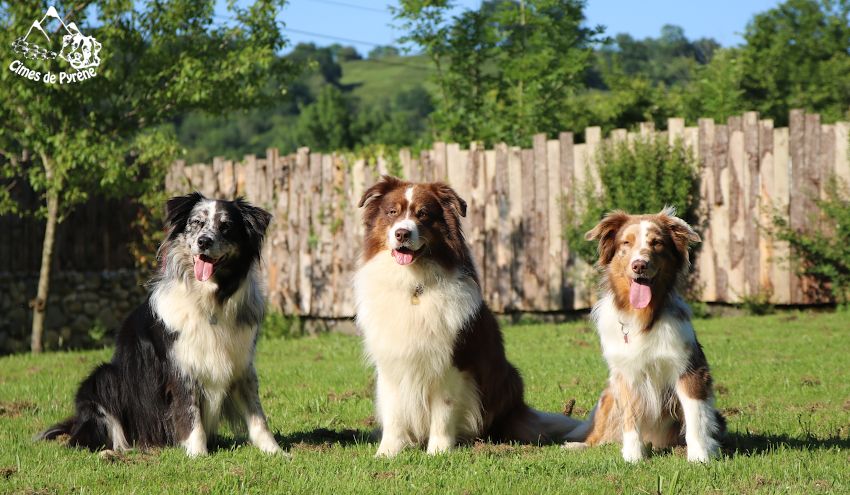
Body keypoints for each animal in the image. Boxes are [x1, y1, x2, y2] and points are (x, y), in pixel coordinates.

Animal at [352, 177, 584, 458]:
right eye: (392, 212)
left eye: (423, 214)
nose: (402, 234)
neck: (413, 286)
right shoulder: (392, 360)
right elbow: (394, 410)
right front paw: (387, 452)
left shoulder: (453, 361)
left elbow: (443, 409)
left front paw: (438, 452)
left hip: (508, 379)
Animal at [564, 207, 724, 464]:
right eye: (626, 243)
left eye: (657, 243)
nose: (639, 265)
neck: (643, 317)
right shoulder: (626, 375)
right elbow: (630, 417)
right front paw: (633, 456)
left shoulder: (689, 369)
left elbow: (696, 417)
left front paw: (700, 456)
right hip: (607, 397)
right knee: (599, 436)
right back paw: (576, 446)